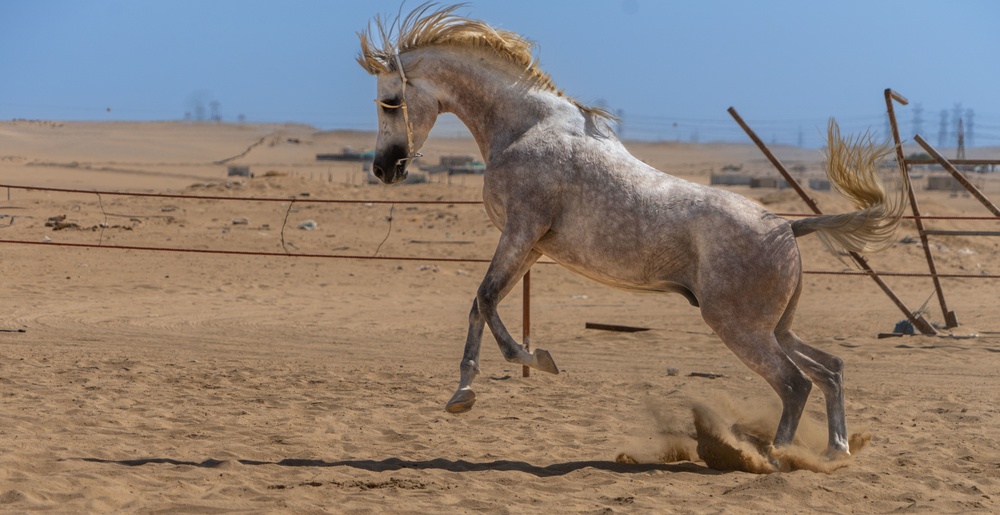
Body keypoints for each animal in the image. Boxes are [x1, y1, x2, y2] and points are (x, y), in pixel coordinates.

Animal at [358, 5, 908, 460]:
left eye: (389, 101)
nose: (384, 169)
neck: (524, 129)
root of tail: (787, 226)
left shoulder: (520, 231)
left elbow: (487, 300)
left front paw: (530, 362)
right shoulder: (530, 247)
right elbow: (482, 303)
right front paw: (464, 392)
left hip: (740, 327)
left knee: (796, 384)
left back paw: (775, 458)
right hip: (774, 327)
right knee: (830, 369)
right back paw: (834, 452)